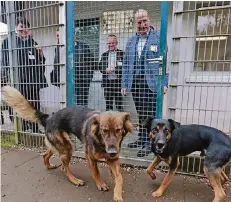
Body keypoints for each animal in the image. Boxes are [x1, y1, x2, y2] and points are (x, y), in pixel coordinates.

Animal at [1, 86, 134, 201]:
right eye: (104, 130)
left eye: (118, 130)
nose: (112, 152)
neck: (101, 142)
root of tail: (48, 118)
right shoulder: (90, 157)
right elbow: (96, 172)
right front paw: (100, 184)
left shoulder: (113, 159)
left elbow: (119, 177)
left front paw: (117, 194)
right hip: (68, 147)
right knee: (64, 168)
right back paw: (75, 180)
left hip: (60, 145)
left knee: (46, 155)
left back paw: (49, 165)